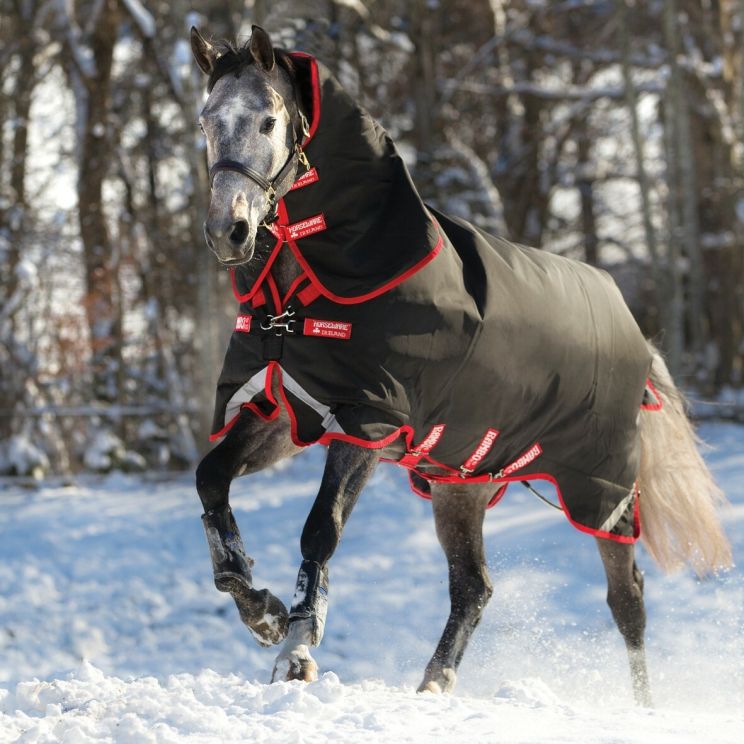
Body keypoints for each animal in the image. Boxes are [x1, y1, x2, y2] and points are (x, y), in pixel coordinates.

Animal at [190, 25, 731, 704]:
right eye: (206, 121)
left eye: (268, 120)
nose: (228, 231)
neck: (305, 294)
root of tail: (635, 334)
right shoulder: (284, 410)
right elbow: (211, 480)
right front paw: (260, 612)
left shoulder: (367, 424)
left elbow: (321, 529)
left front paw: (295, 653)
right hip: (462, 484)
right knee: (474, 587)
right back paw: (433, 685)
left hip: (602, 490)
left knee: (625, 598)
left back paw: (641, 707)